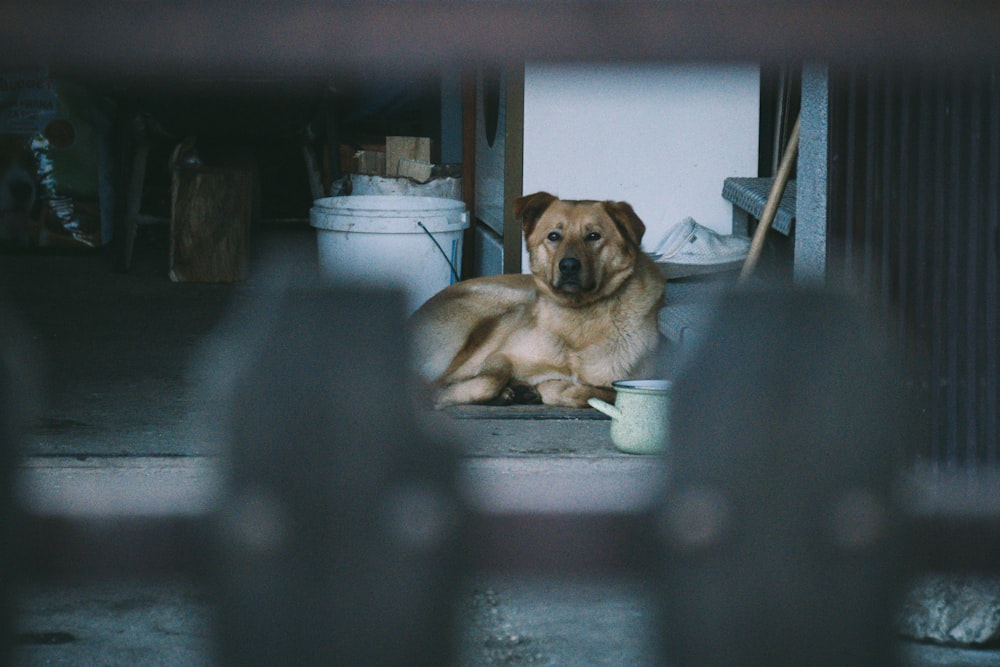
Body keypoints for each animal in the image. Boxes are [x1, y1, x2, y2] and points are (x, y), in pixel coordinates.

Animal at [410, 190, 668, 410]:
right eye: (553, 236)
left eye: (594, 236)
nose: (568, 266)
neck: (577, 318)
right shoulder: (500, 355)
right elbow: (488, 381)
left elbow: (580, 392)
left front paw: (539, 388)